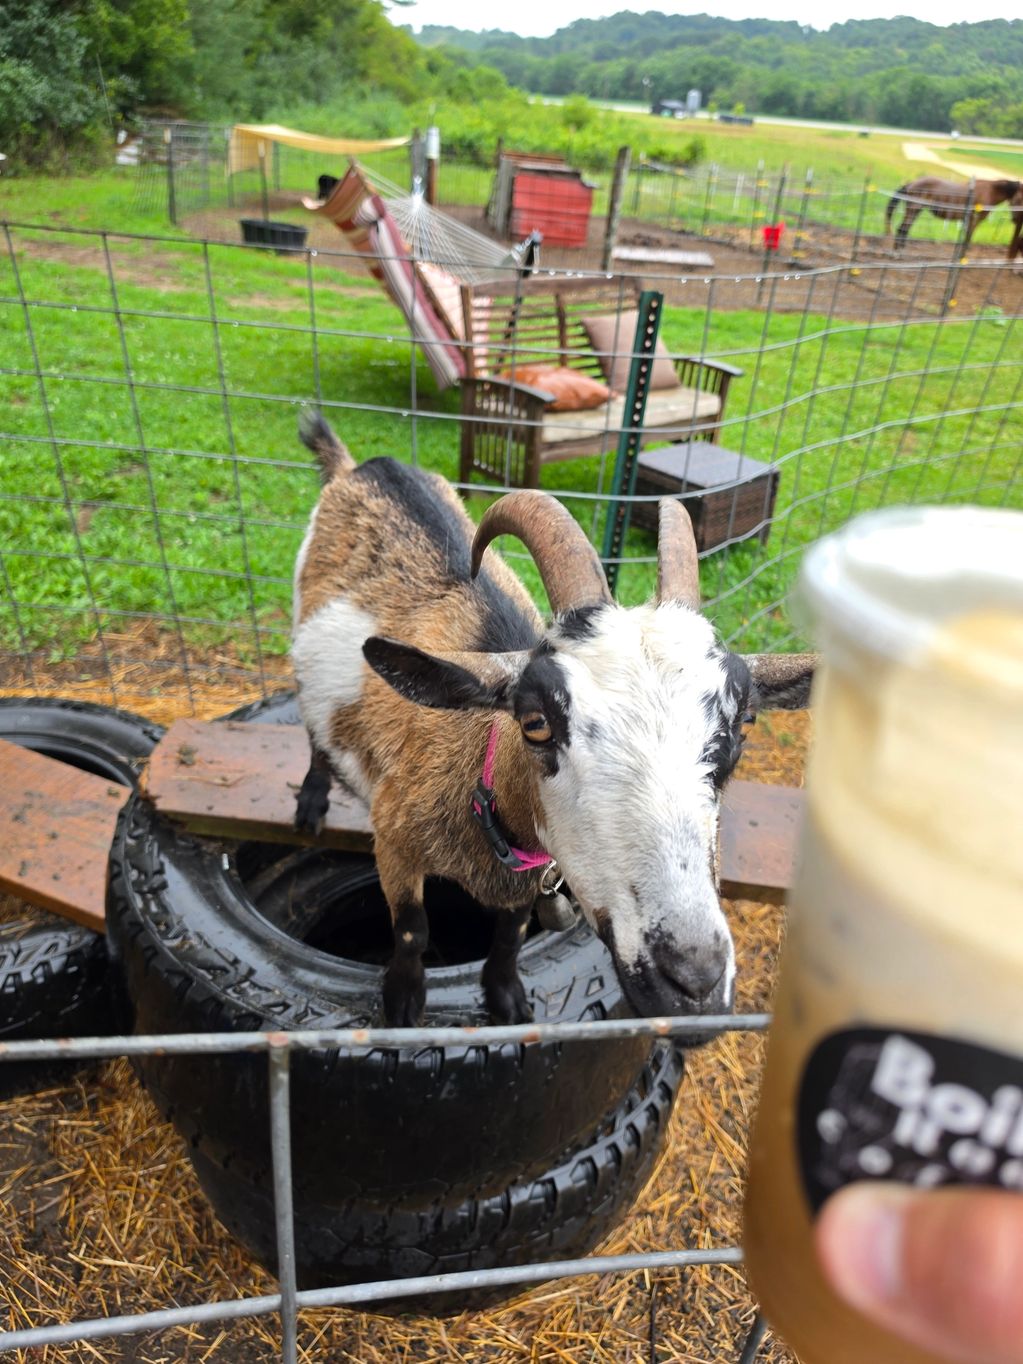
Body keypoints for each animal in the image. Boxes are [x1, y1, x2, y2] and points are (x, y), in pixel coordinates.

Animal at [291, 411, 814, 1028]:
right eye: (536, 722)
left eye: (745, 721)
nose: (694, 983)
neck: (478, 774)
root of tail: (366, 465)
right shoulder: (394, 839)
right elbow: (413, 930)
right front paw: (402, 1000)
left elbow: (512, 932)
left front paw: (507, 996)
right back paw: (311, 799)